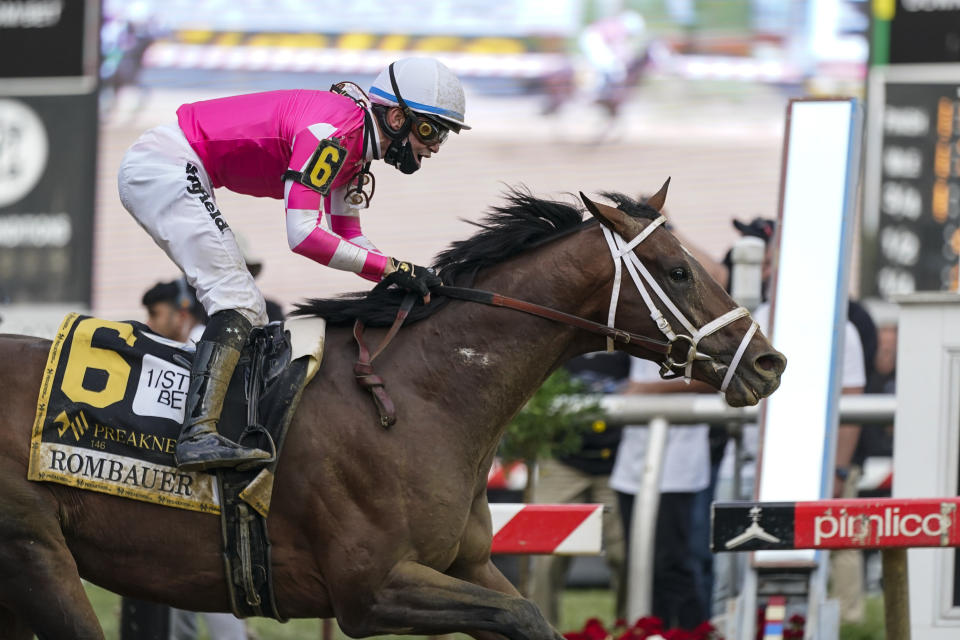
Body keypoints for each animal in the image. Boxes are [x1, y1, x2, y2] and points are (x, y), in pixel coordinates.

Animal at [0, 181, 784, 640]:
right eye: (679, 271)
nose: (768, 363)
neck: (421, 396)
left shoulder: (468, 566)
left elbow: (529, 617)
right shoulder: (370, 589)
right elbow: (527, 614)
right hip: (35, 554)